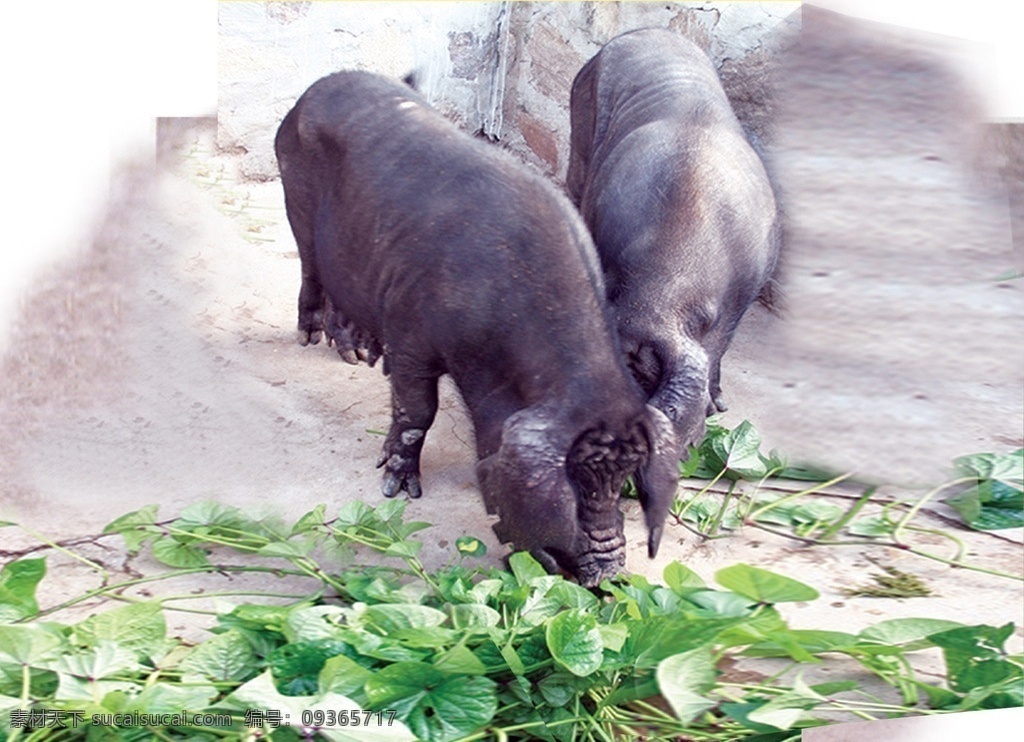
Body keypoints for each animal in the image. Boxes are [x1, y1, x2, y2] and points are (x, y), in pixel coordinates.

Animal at [274, 71, 679, 585]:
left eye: (625, 480)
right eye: (573, 481)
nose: (607, 574)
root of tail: (321, 85)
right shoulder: (411, 334)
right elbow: (416, 412)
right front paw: (399, 490)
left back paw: (361, 356)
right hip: (294, 195)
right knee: (310, 267)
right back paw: (308, 338)